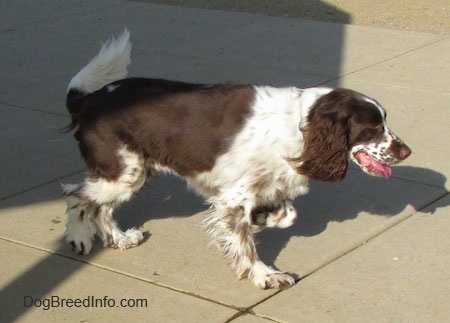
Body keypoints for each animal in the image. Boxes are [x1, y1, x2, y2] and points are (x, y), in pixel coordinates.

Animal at [62, 29, 412, 288]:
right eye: (373, 126)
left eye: (384, 120)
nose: (406, 151)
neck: (299, 125)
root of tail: (89, 99)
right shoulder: (234, 196)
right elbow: (246, 244)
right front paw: (266, 275)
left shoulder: (259, 189)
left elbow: (287, 214)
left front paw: (262, 219)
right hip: (123, 172)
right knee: (78, 197)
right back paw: (79, 239)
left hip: (132, 172)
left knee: (100, 207)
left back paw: (119, 240)